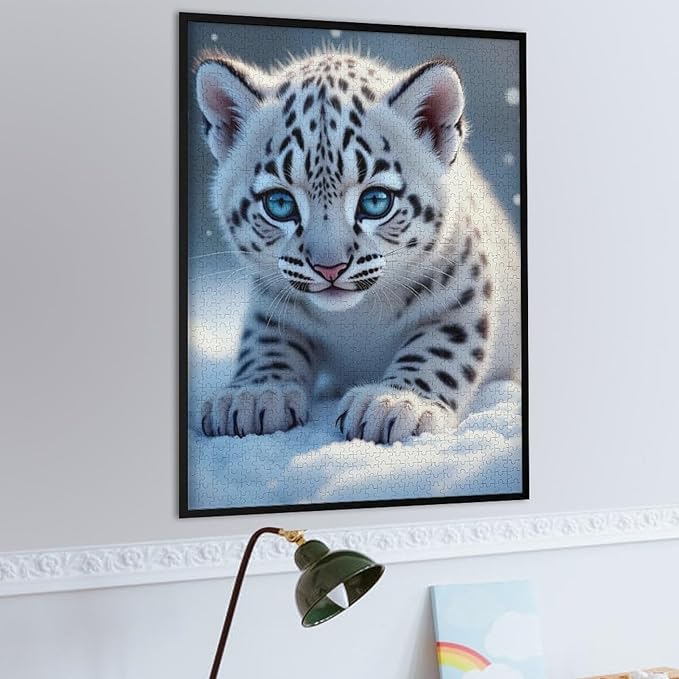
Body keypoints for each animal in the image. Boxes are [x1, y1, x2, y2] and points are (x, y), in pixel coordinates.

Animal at [194, 47, 521, 444]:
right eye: (280, 203)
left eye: (376, 201)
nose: (329, 267)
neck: (356, 318)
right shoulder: (272, 300)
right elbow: (267, 342)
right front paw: (252, 395)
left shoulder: (462, 292)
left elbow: (439, 347)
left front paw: (394, 403)